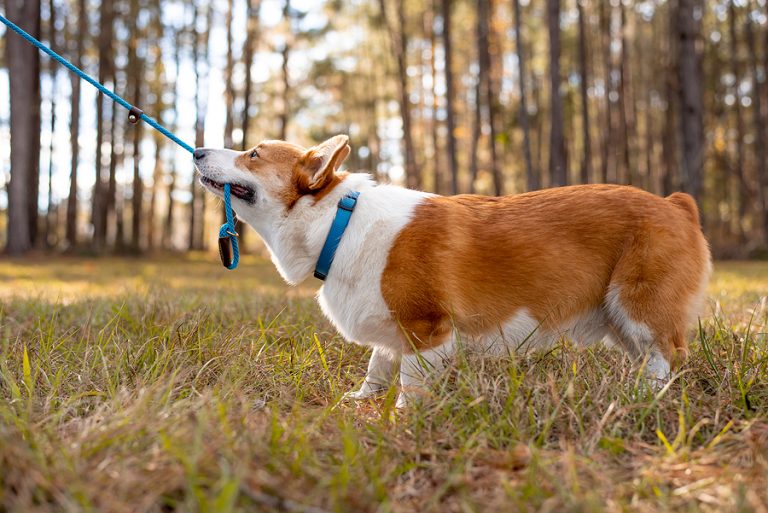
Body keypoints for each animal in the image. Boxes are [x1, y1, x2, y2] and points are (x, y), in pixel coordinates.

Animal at [195, 134, 712, 406]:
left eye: (253, 154)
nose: (197, 150)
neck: (338, 222)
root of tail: (676, 204)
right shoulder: (391, 332)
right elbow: (377, 367)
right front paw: (360, 402)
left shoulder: (427, 330)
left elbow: (409, 381)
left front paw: (401, 418)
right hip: (617, 318)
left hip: (638, 305)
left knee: (667, 355)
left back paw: (646, 398)